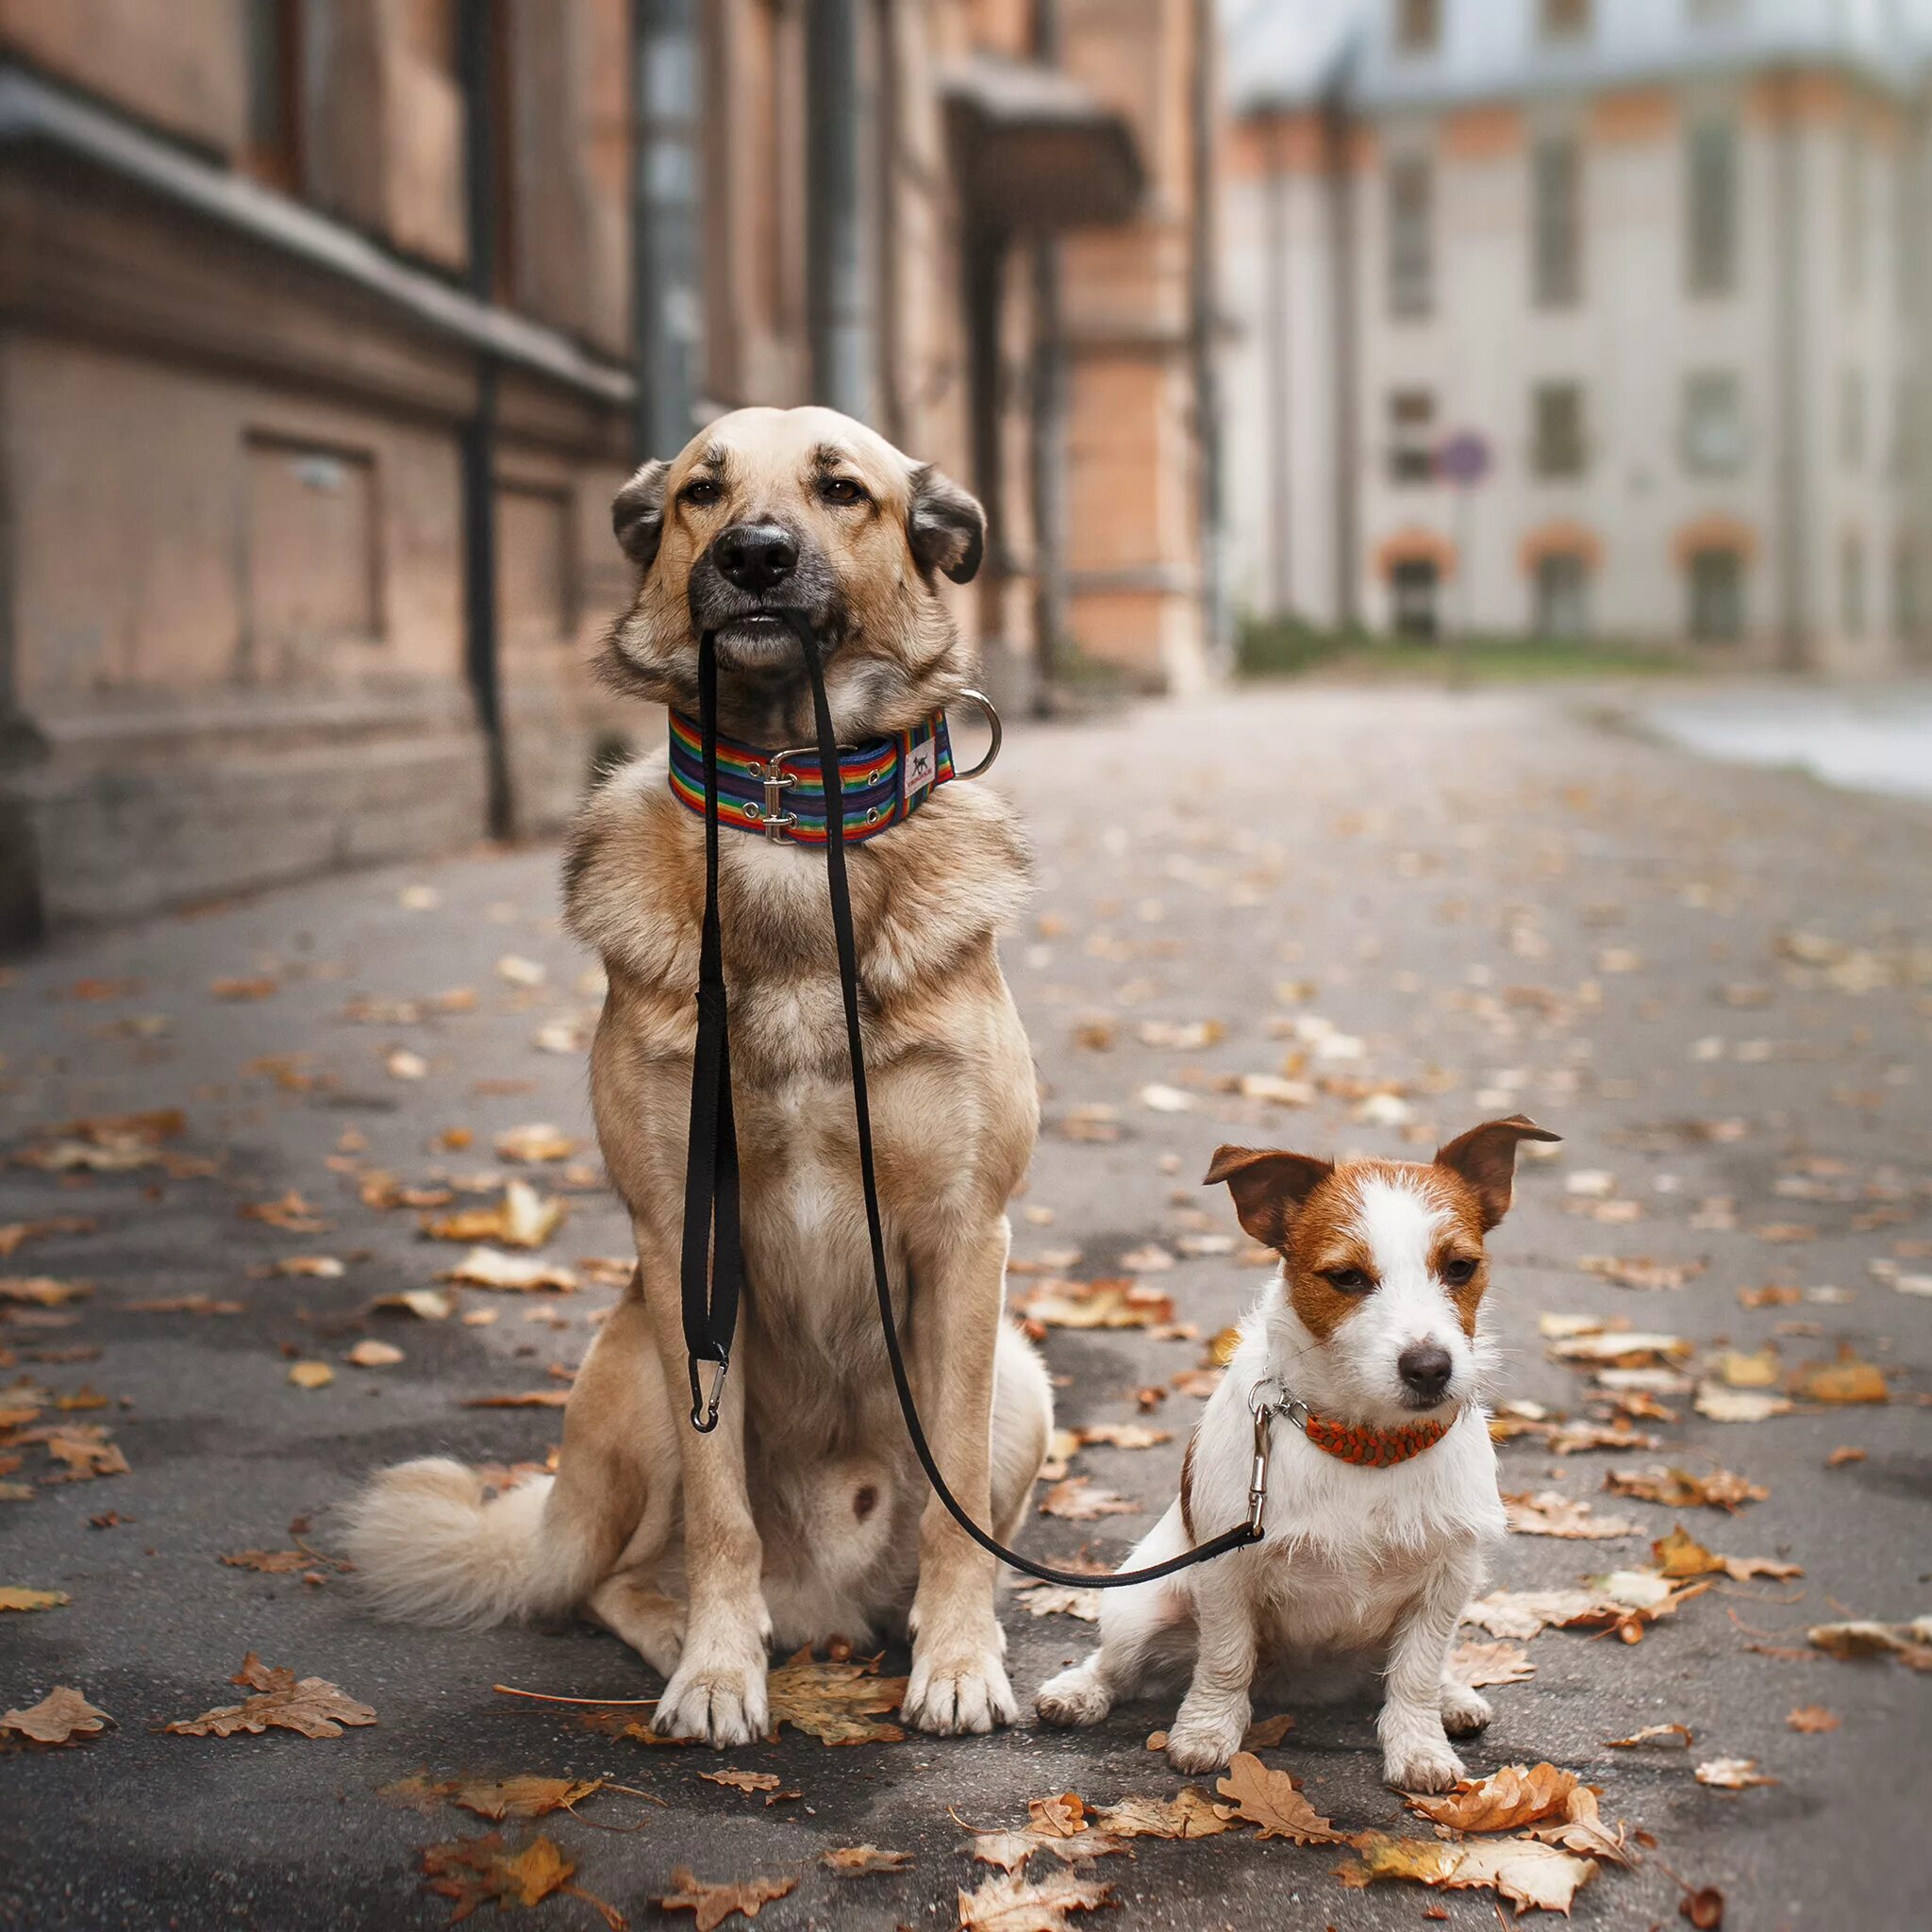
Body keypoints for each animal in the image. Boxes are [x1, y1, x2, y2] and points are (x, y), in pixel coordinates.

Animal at [340, 411, 1051, 1754]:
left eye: (841, 488)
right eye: (699, 491)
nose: (755, 555)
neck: (786, 817)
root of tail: (827, 1602)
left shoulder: (963, 1241)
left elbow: (953, 1513)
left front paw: (959, 1659)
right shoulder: (682, 1235)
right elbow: (722, 1517)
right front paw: (720, 1668)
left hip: (1020, 1378)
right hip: (632, 1360)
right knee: (620, 1574)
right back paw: (695, 1633)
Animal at [1042, 1120, 1553, 1792]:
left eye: (1460, 1267)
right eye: (1348, 1278)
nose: (1430, 1368)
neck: (1366, 1446)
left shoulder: (1449, 1577)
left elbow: (1415, 1673)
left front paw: (1419, 1746)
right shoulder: (1226, 1574)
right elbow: (1226, 1659)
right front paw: (1206, 1731)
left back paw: (1451, 1695)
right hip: (1142, 1605)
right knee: (1117, 1663)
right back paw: (1079, 1690)